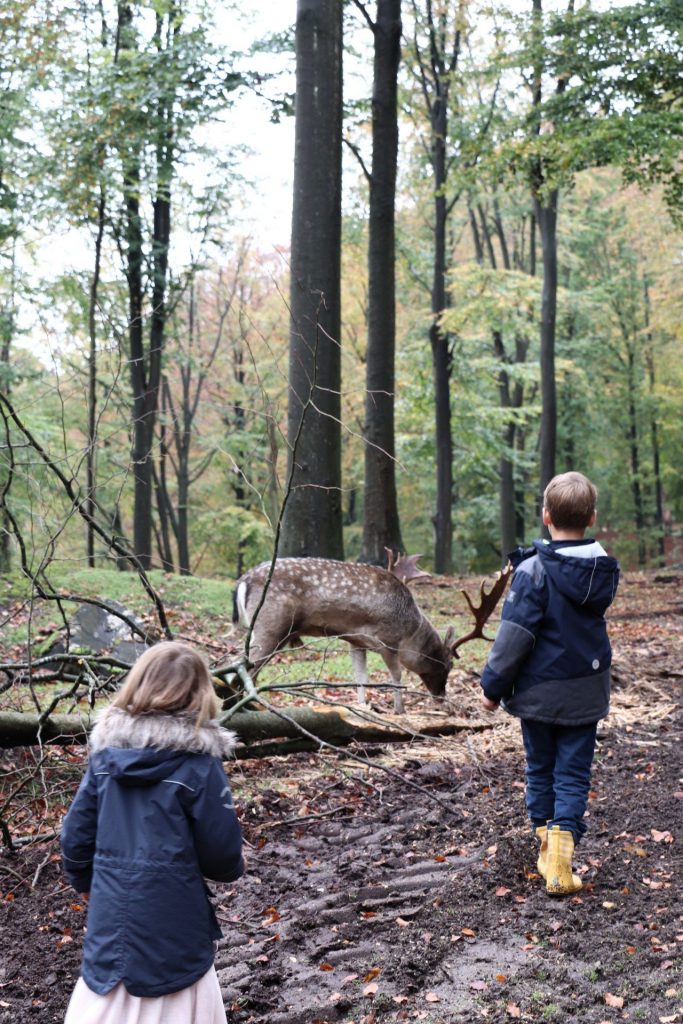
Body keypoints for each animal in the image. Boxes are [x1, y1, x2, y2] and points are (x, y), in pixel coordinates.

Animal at [235, 552, 511, 712]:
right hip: (271, 625)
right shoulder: (388, 640)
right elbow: (396, 675)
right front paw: (399, 710)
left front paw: (362, 707)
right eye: (448, 666)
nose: (441, 697)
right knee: (247, 669)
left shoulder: (355, 640)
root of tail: (242, 582)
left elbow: (361, 676)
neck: (411, 632)